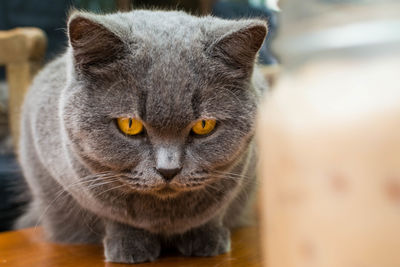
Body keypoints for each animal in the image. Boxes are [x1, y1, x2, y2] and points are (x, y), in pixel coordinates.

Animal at [14, 9, 268, 264]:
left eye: (204, 125)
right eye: (130, 124)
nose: (168, 170)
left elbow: (213, 213)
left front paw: (207, 239)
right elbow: (115, 217)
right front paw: (129, 245)